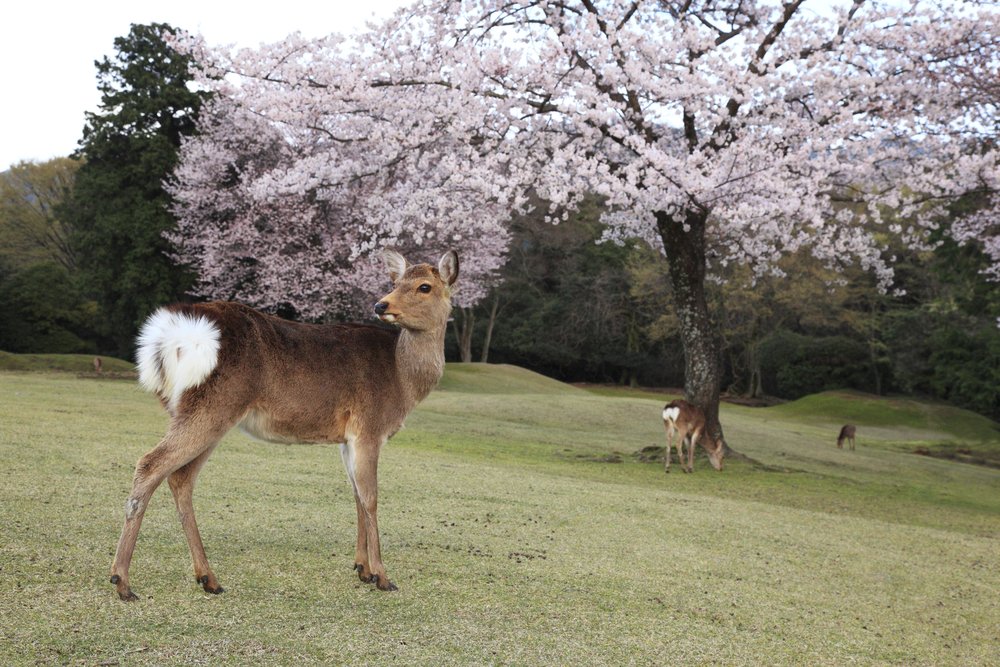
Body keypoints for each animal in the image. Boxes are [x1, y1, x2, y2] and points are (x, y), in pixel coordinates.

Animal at [109, 249, 458, 601]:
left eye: (424, 286)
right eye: (395, 283)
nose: (381, 305)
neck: (403, 379)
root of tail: (167, 337)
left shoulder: (348, 438)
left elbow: (357, 495)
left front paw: (362, 569)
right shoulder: (370, 427)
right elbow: (371, 497)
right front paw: (383, 577)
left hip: (198, 412)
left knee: (180, 478)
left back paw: (208, 578)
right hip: (212, 406)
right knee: (150, 464)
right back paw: (122, 581)